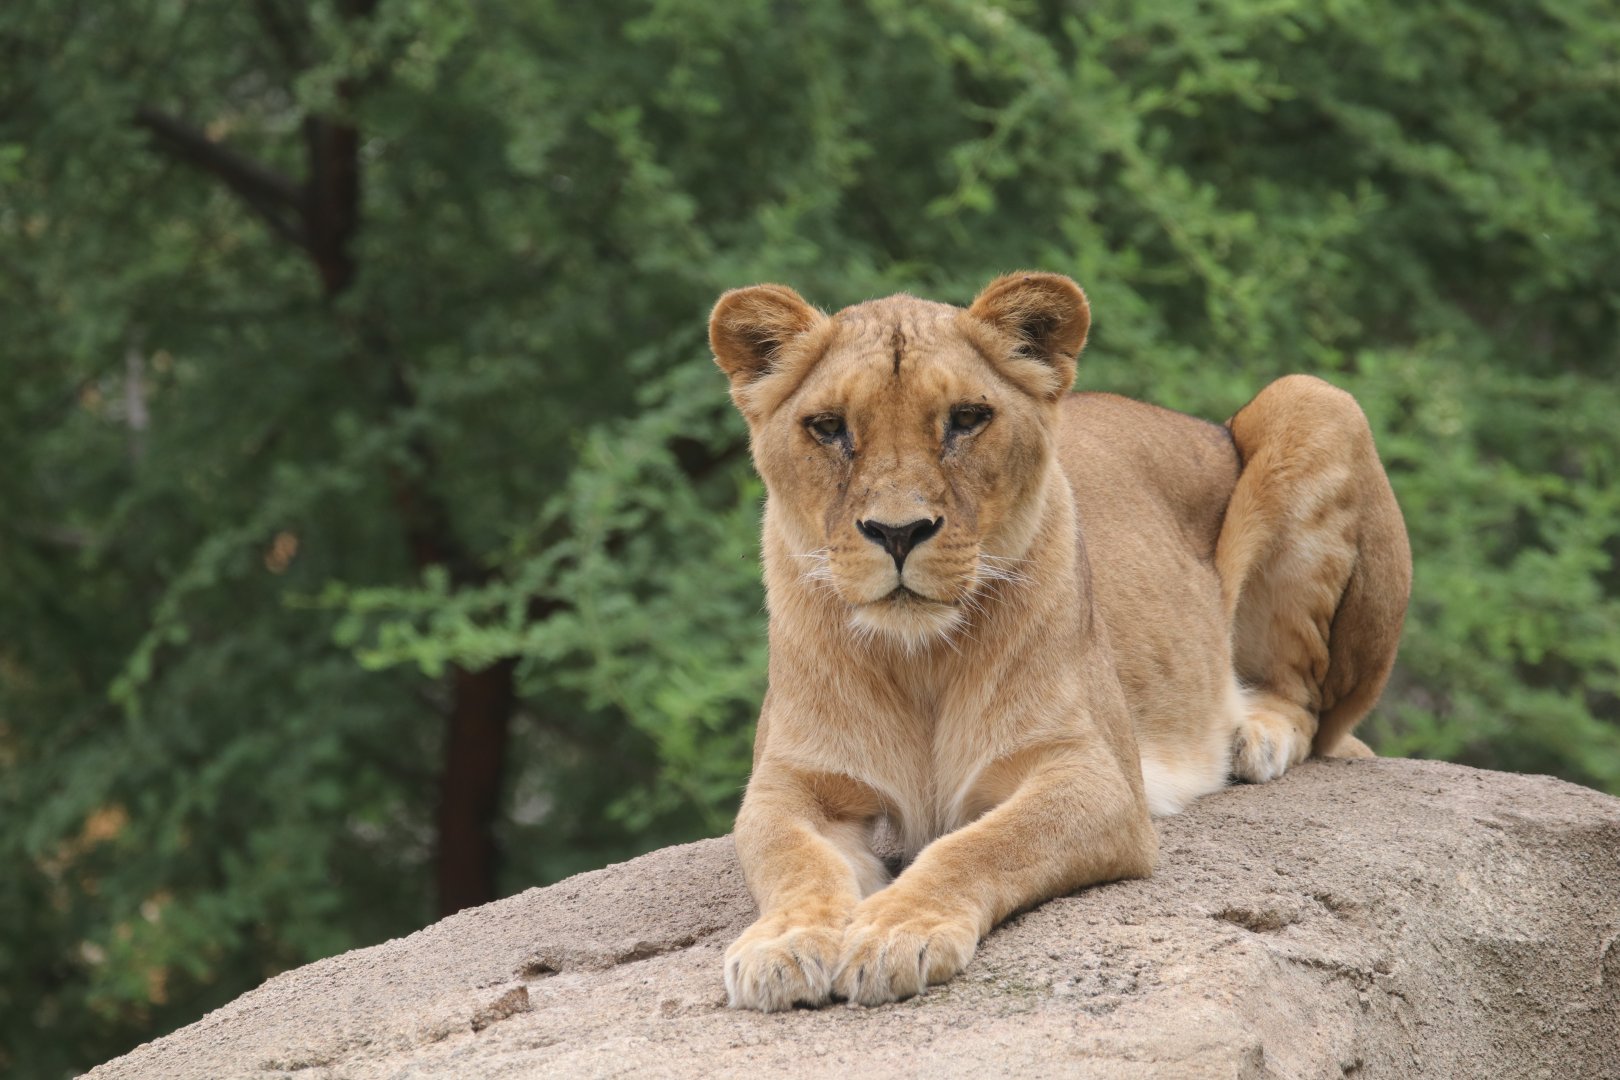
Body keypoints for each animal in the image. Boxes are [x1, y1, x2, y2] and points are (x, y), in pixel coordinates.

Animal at [708, 272, 1411, 1011]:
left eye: (966, 418)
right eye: (828, 427)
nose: (898, 533)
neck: (919, 658)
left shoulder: (1096, 778)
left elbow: (982, 846)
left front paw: (897, 930)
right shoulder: (790, 782)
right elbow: (792, 859)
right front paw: (784, 943)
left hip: (1315, 400)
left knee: (1313, 704)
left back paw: (1254, 736)